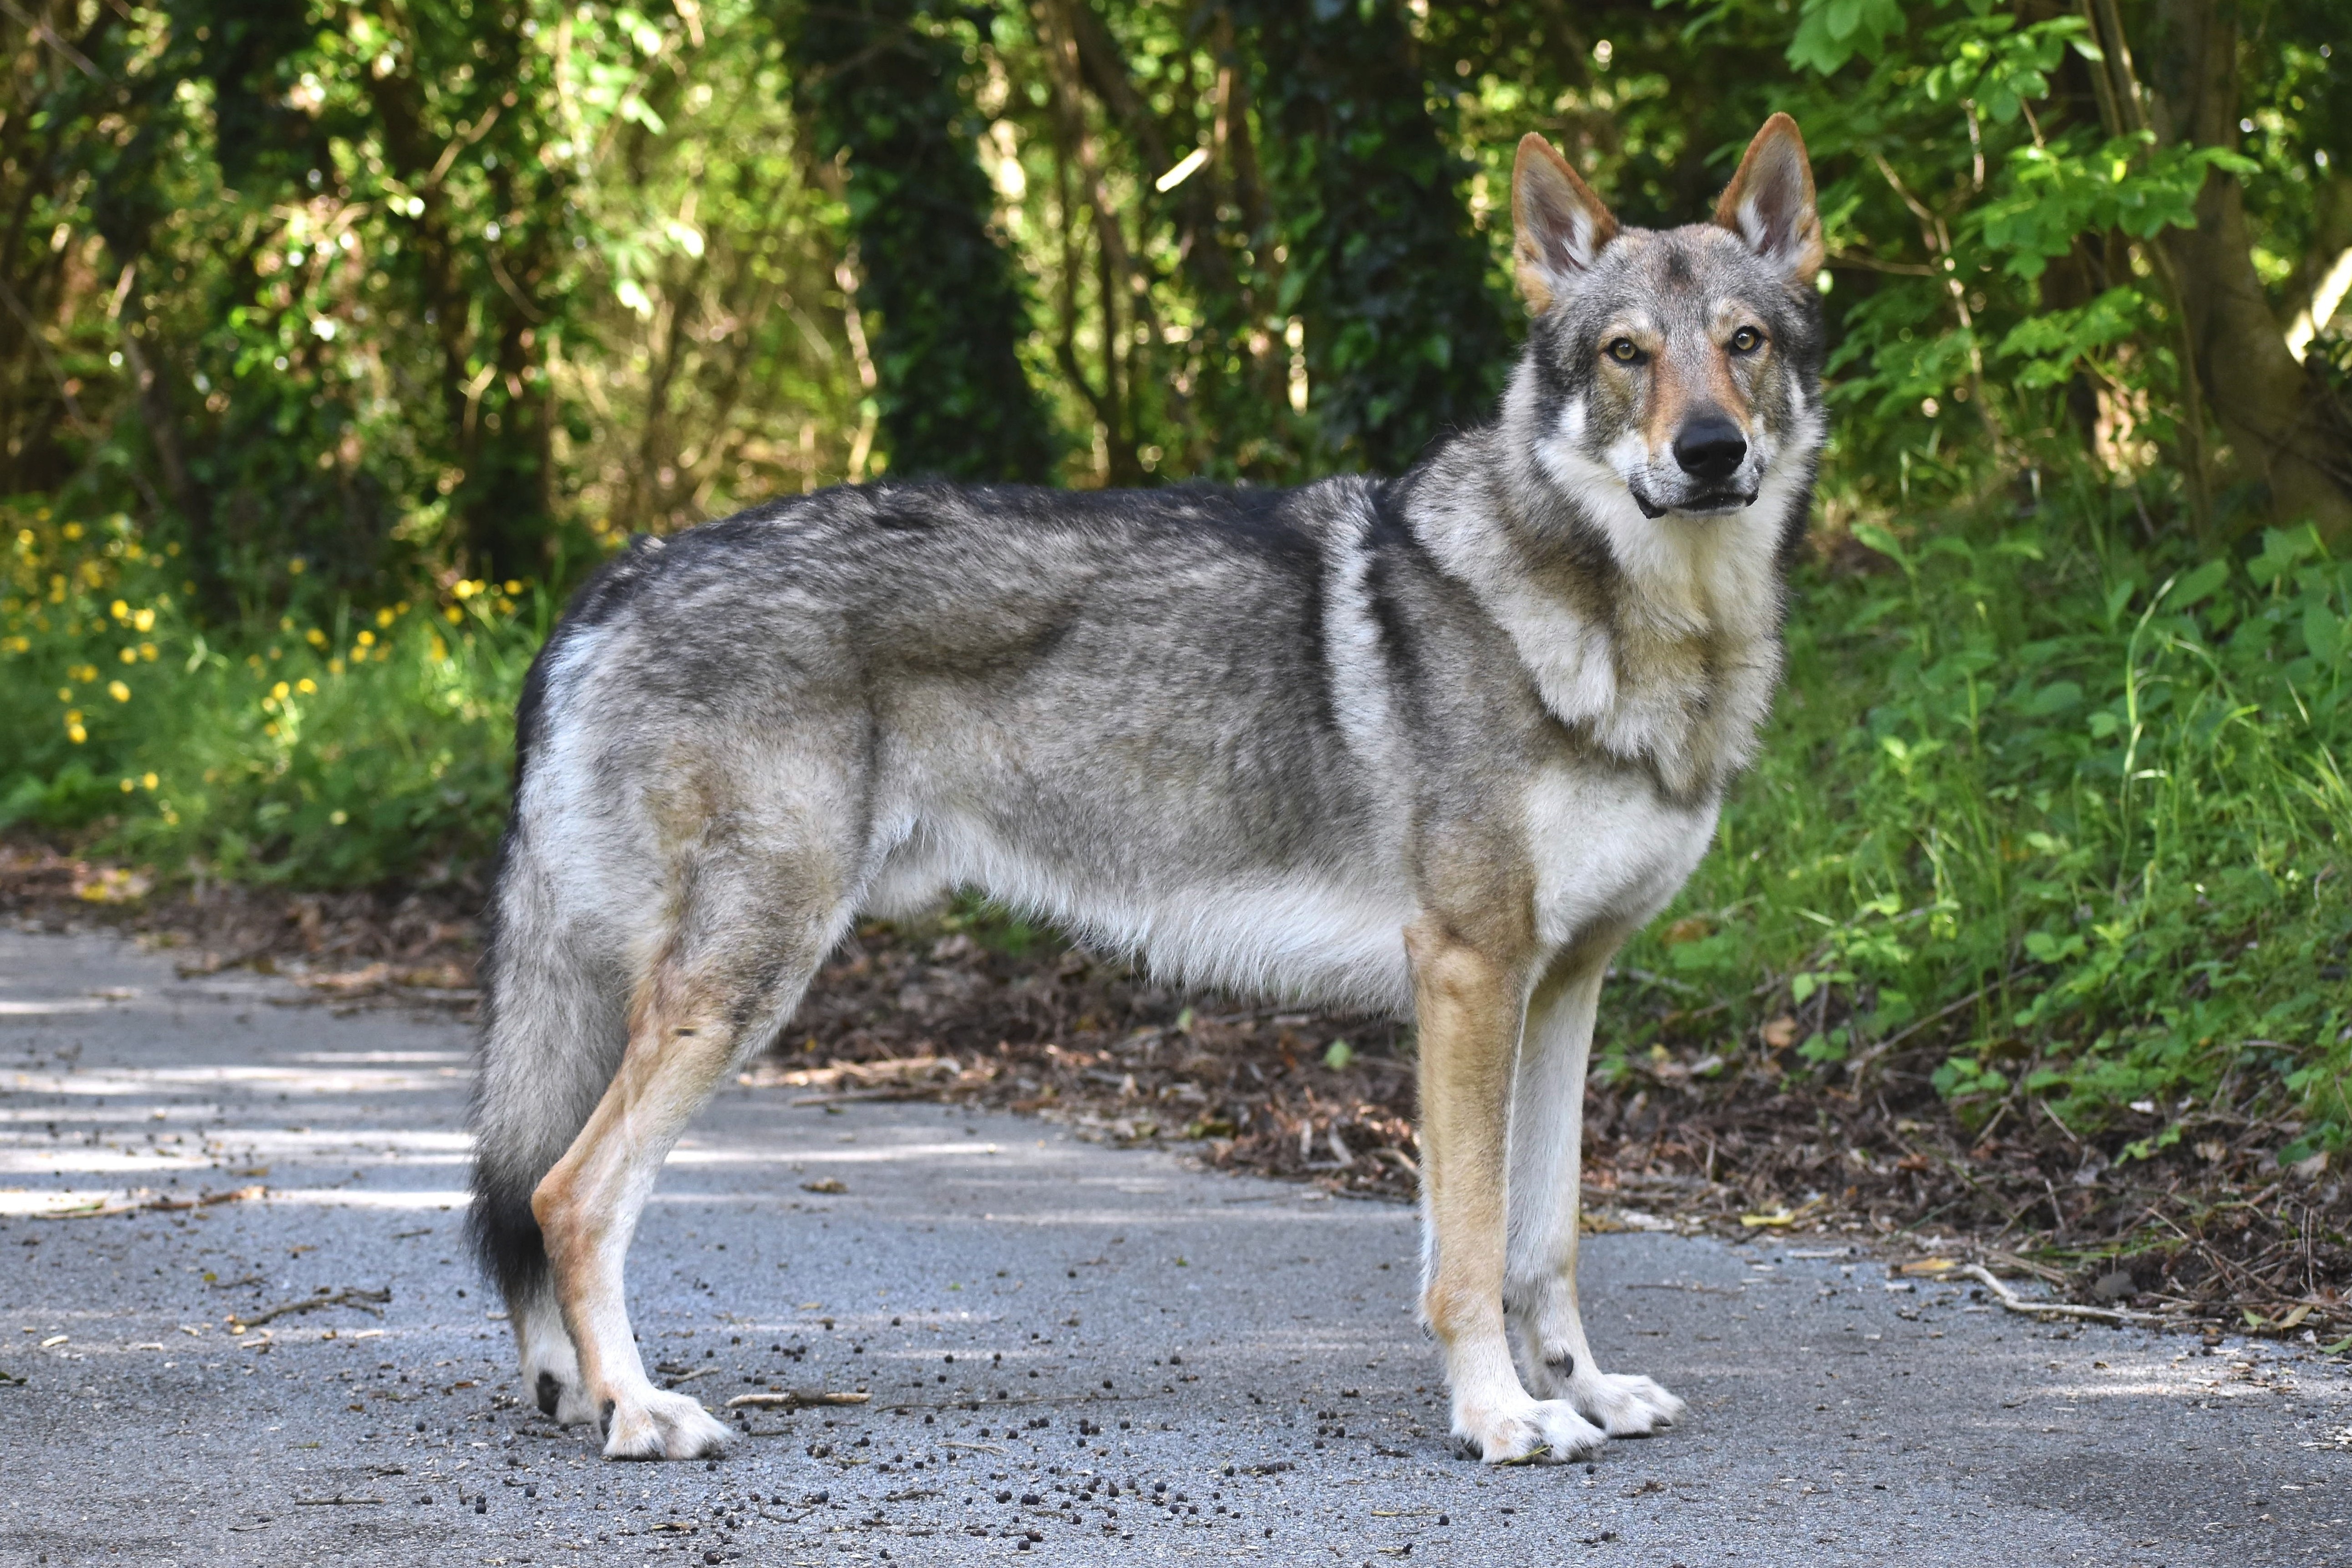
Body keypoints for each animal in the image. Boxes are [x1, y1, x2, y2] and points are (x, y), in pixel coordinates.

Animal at [469, 114, 1826, 1464]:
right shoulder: (1469, 975)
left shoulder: (1563, 986)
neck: (1634, 631)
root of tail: (621, 572)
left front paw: (1586, 1390)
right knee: (565, 1194)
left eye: (1742, 344)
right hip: (742, 981)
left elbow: (1547, 1237)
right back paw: (638, 1409)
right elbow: (1472, 1248)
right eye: (1625, 355)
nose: (1710, 452)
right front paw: (1499, 1414)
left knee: (534, 1195)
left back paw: (577, 1390)